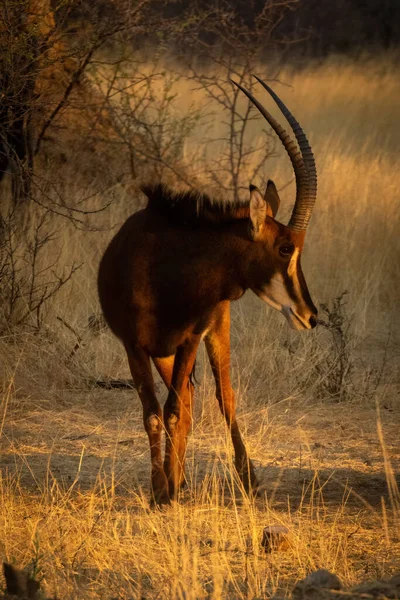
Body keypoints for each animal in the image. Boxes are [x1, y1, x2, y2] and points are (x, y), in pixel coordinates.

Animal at [97, 76, 318, 506]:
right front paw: (160, 488)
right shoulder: (134, 345)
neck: (163, 269)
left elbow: (172, 410)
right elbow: (155, 414)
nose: (311, 316)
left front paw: (166, 491)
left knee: (222, 396)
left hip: (214, 331)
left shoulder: (190, 337)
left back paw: (245, 479)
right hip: (163, 352)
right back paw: (178, 478)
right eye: (285, 248)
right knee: (186, 401)